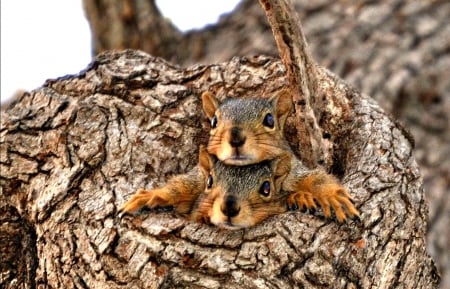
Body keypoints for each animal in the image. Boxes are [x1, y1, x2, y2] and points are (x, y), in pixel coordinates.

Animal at [200, 90, 358, 220]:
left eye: (270, 120)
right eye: (214, 121)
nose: (236, 137)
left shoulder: (293, 169)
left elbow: (313, 178)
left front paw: (330, 195)